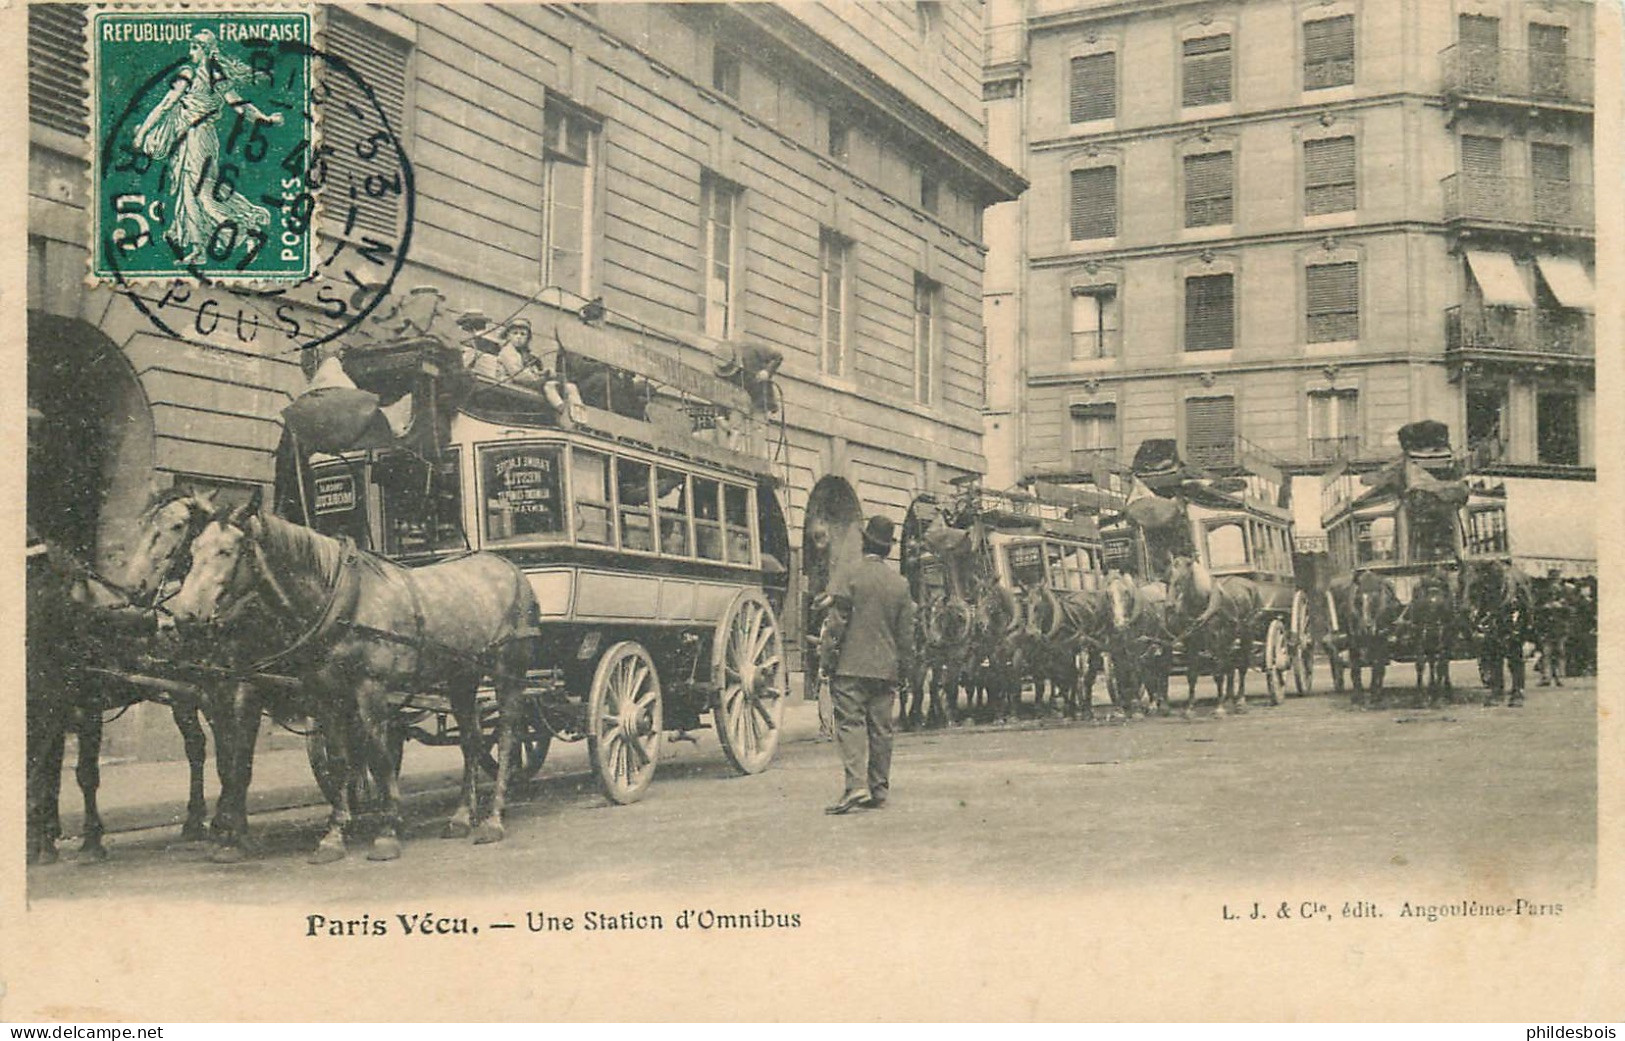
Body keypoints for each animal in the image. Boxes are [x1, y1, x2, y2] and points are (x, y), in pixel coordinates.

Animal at [25, 490, 214, 863]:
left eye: (177, 525)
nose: (138, 588)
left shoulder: (87, 706)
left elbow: (83, 773)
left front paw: (90, 840)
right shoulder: (51, 703)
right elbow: (48, 772)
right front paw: (44, 839)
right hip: (179, 694)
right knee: (196, 747)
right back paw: (193, 822)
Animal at [169, 493, 539, 857]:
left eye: (226, 551)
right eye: (193, 549)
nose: (183, 615)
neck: (343, 599)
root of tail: (510, 569)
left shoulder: (370, 688)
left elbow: (378, 754)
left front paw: (388, 829)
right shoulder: (327, 693)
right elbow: (340, 759)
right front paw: (335, 833)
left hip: (507, 671)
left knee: (509, 737)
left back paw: (493, 819)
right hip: (462, 676)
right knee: (471, 741)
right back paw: (461, 817)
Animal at [1163, 552, 1261, 714]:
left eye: (1183, 578)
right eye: (1166, 579)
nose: (1169, 606)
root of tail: (1250, 585)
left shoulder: (1216, 639)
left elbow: (1218, 673)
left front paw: (1219, 708)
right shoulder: (1192, 643)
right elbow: (1192, 674)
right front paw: (1190, 708)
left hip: (1247, 633)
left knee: (1242, 665)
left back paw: (1240, 701)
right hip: (1229, 638)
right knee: (1229, 665)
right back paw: (1229, 698)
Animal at [1469, 558, 1527, 708]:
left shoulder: (1515, 635)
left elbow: (1515, 661)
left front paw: (1517, 697)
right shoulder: (1491, 637)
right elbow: (1496, 663)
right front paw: (1496, 696)